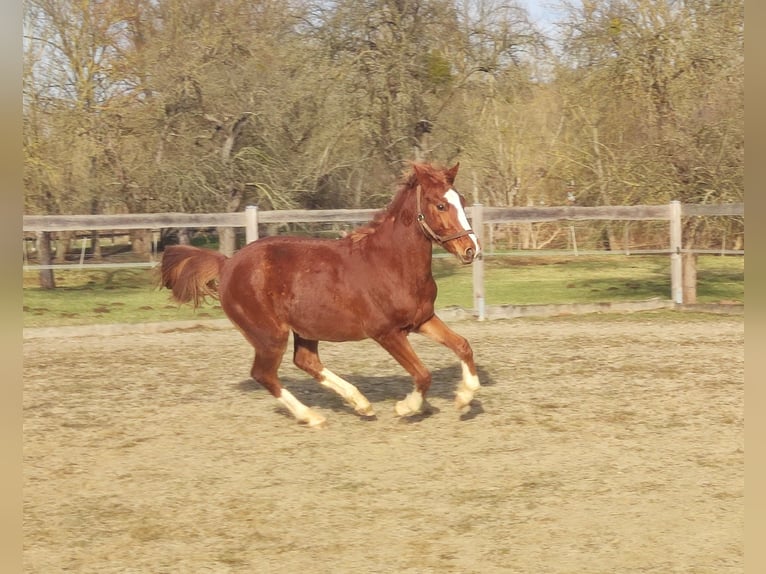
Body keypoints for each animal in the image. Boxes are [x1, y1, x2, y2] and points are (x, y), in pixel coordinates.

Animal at [161, 162, 484, 428]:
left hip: (306, 328)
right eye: (440, 205)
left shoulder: (422, 319)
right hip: (270, 335)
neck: (391, 264)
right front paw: (407, 407)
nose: (471, 250)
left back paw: (360, 403)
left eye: (462, 201)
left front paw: (465, 398)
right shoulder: (387, 332)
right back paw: (311, 416)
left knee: (306, 361)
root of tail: (227, 263)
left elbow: (463, 346)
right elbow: (422, 374)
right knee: (264, 374)